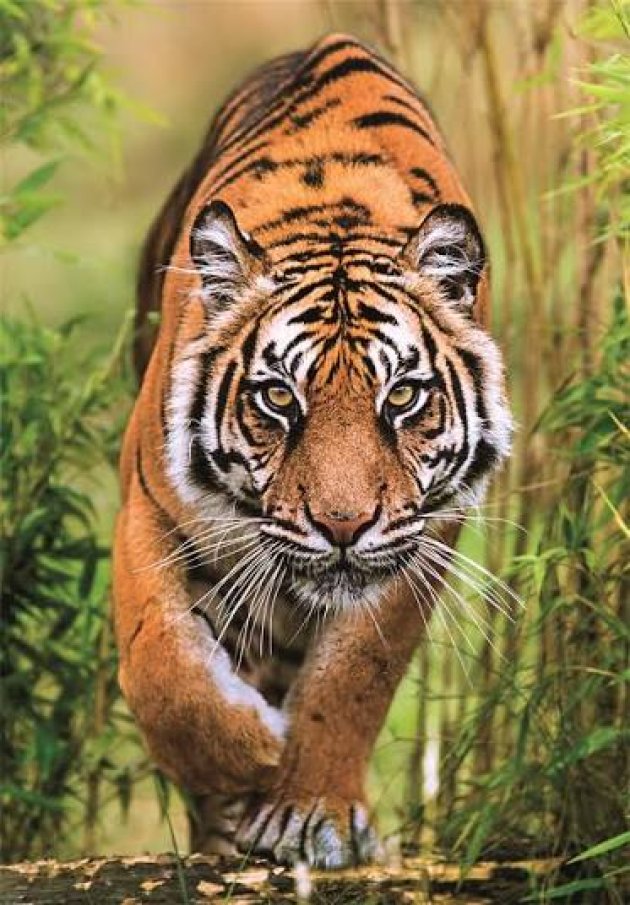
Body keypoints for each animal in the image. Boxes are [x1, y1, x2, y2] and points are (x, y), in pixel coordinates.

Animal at [113, 33, 512, 869]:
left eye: (403, 396)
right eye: (277, 397)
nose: (342, 525)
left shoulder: (421, 535)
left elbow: (353, 676)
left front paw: (309, 811)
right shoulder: (148, 506)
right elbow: (161, 660)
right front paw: (245, 754)